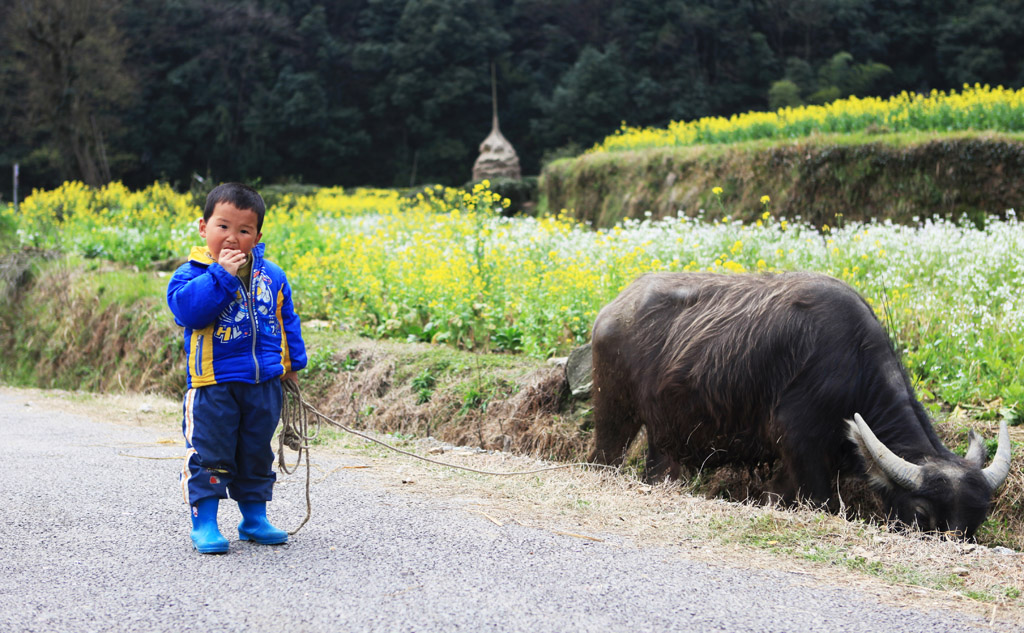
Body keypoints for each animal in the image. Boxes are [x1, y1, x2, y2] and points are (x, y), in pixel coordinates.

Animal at [589, 268, 1011, 536]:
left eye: (977, 520)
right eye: (922, 514)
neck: (853, 366)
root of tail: (611, 310)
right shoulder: (801, 447)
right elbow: (818, 501)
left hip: (665, 438)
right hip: (614, 414)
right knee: (603, 456)